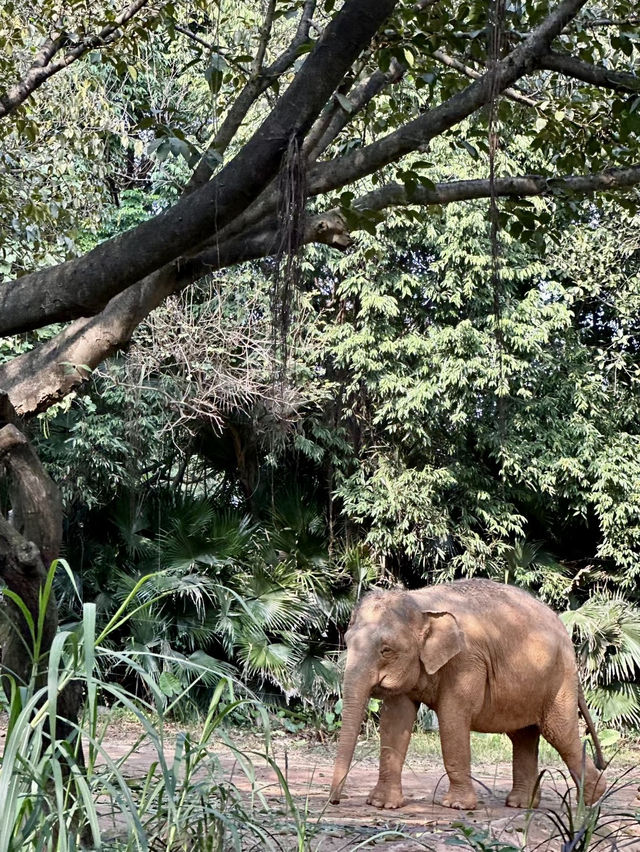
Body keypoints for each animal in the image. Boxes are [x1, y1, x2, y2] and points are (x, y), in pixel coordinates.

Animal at [330, 580, 604, 812]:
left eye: (386, 650)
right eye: (347, 641)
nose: (335, 801)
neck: (420, 603)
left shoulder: (467, 661)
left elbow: (452, 719)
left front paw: (457, 806)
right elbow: (395, 721)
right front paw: (382, 804)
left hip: (560, 681)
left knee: (559, 733)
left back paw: (591, 800)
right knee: (523, 736)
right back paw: (521, 804)